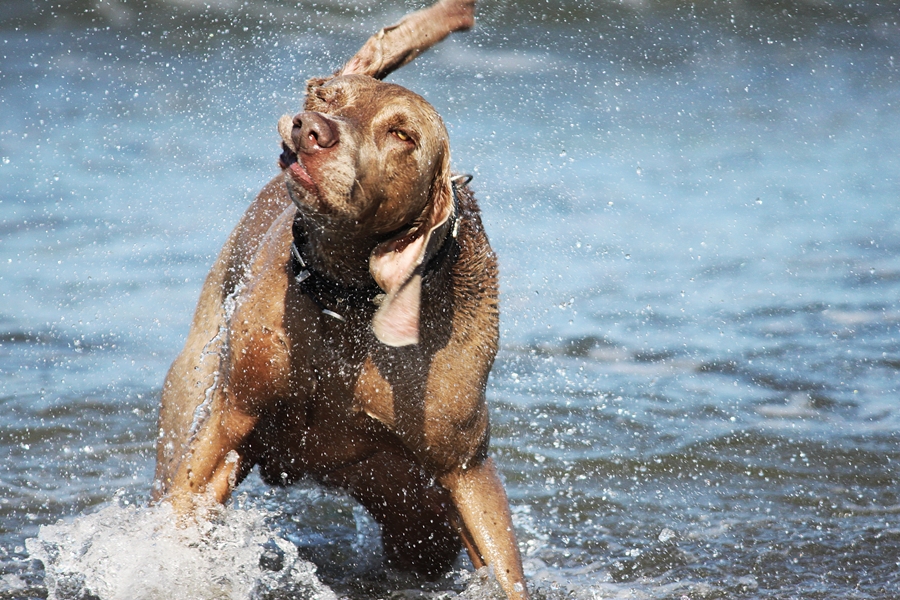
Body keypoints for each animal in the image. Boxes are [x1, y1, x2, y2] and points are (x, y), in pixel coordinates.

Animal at [152, 71, 532, 600]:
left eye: (402, 134)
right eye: (327, 96)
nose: (310, 129)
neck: (347, 304)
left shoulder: (465, 468)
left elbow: (503, 569)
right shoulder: (232, 413)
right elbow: (186, 505)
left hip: (417, 520)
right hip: (193, 395)